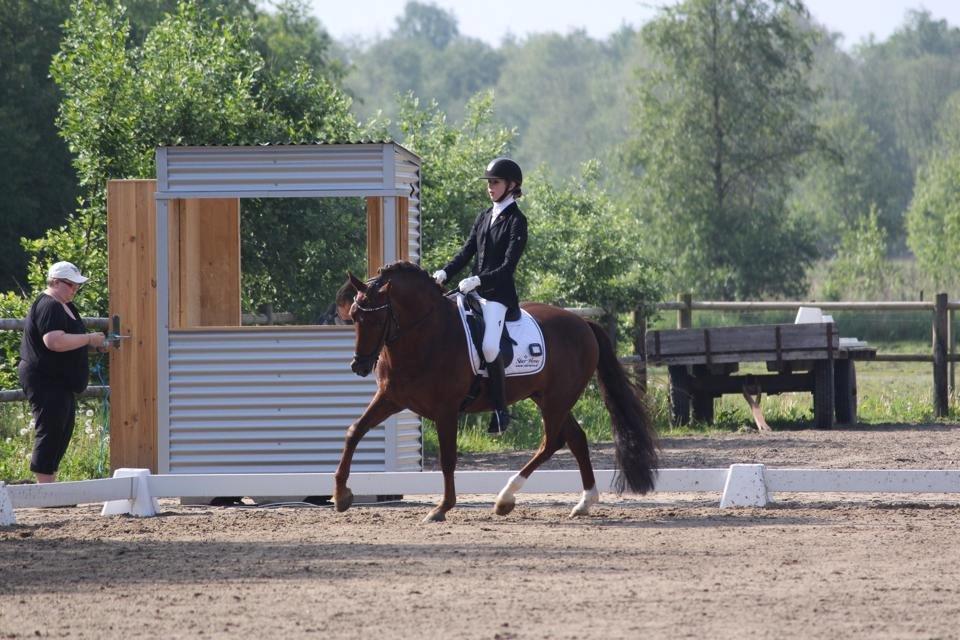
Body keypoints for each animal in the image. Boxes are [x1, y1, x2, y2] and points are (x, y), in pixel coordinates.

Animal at [335, 261, 658, 523]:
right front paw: (341, 495)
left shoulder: (446, 409)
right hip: (547, 398)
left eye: (377, 319)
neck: (426, 333)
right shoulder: (391, 399)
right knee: (576, 439)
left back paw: (505, 498)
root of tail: (583, 323)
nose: (358, 366)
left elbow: (448, 458)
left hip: (557, 399)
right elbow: (353, 432)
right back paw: (584, 503)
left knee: (551, 442)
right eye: (354, 315)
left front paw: (442, 508)